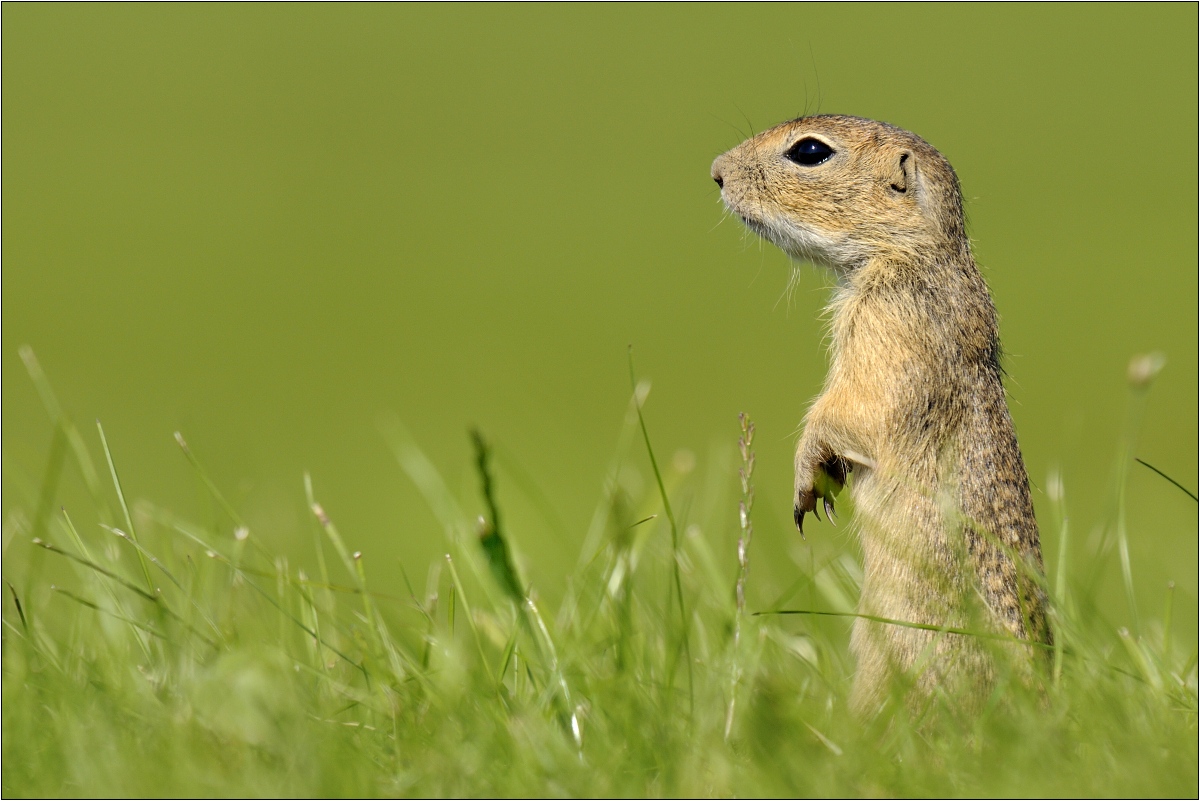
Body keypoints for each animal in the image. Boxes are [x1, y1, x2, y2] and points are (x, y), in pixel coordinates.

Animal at [710, 113, 1051, 714]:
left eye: (810, 152)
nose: (716, 173)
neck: (914, 254)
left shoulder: (888, 327)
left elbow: (854, 409)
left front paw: (807, 477)